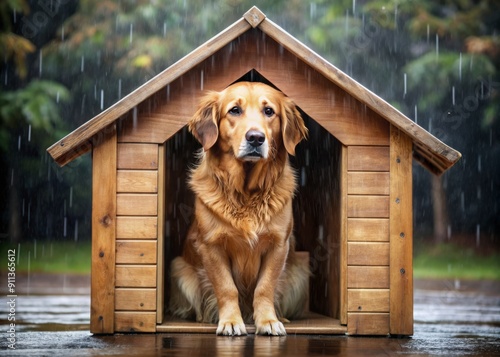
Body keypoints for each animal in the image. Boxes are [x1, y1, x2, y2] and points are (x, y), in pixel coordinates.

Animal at [169, 80, 308, 334]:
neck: (246, 193)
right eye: (234, 110)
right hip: (179, 268)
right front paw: (231, 322)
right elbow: (227, 288)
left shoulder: (278, 245)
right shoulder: (211, 246)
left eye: (269, 111)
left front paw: (268, 321)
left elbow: (265, 287)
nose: (256, 138)